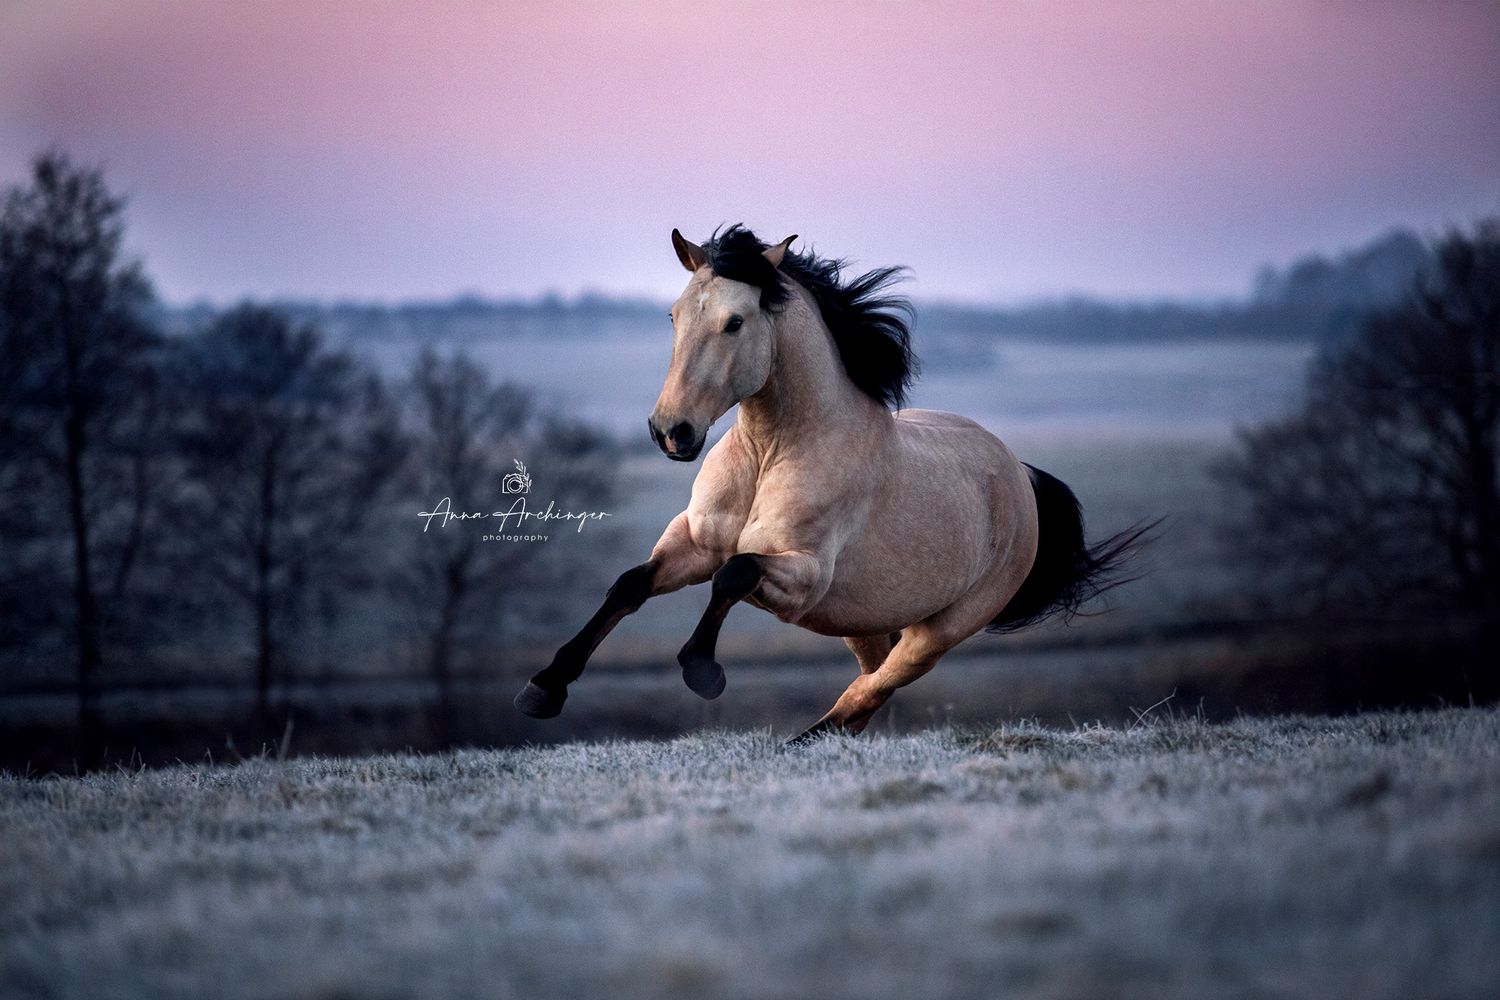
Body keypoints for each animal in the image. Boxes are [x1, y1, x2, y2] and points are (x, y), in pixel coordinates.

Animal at [514, 225, 1150, 742]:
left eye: (735, 322)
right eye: (674, 315)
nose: (671, 432)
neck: (771, 451)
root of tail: (1019, 474)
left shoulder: (803, 576)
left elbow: (733, 573)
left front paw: (702, 670)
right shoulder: (692, 543)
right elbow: (630, 585)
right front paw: (544, 688)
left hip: (939, 631)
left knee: (873, 688)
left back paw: (800, 743)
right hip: (863, 622)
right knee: (869, 687)